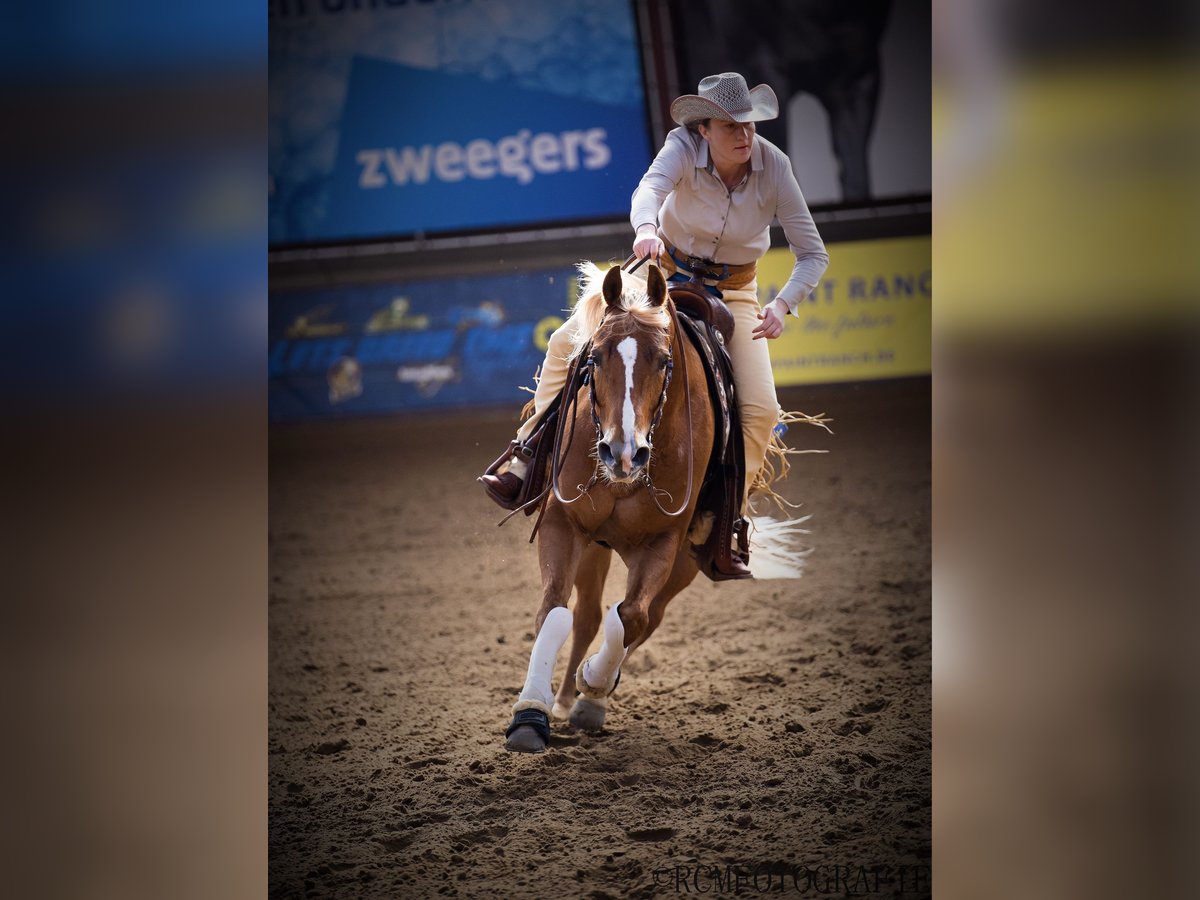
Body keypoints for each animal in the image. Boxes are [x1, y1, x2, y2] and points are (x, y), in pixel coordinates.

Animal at [504, 261, 717, 753]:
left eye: (664, 360)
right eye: (594, 357)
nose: (623, 453)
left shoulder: (664, 541)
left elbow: (631, 615)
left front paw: (594, 687)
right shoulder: (563, 523)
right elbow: (554, 611)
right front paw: (531, 712)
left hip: (685, 563)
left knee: (645, 618)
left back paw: (588, 695)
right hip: (595, 548)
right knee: (585, 617)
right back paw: (564, 698)